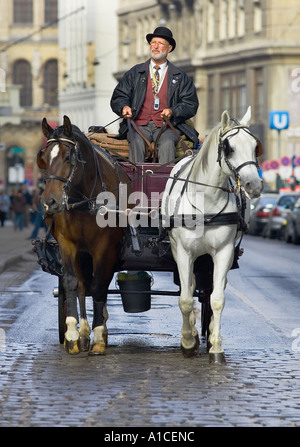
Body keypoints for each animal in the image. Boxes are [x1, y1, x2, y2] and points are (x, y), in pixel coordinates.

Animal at [37, 117, 129, 356]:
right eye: (44, 157)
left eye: (68, 157)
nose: (49, 202)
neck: (86, 201)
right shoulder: (67, 244)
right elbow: (72, 283)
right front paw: (73, 334)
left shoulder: (105, 247)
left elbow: (98, 287)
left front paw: (98, 336)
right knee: (82, 285)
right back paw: (84, 332)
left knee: (98, 284)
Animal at [162, 107, 262, 364]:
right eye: (229, 147)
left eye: (254, 146)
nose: (254, 185)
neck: (206, 201)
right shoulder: (184, 252)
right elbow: (185, 299)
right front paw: (188, 342)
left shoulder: (224, 252)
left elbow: (217, 299)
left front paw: (216, 348)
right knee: (188, 288)